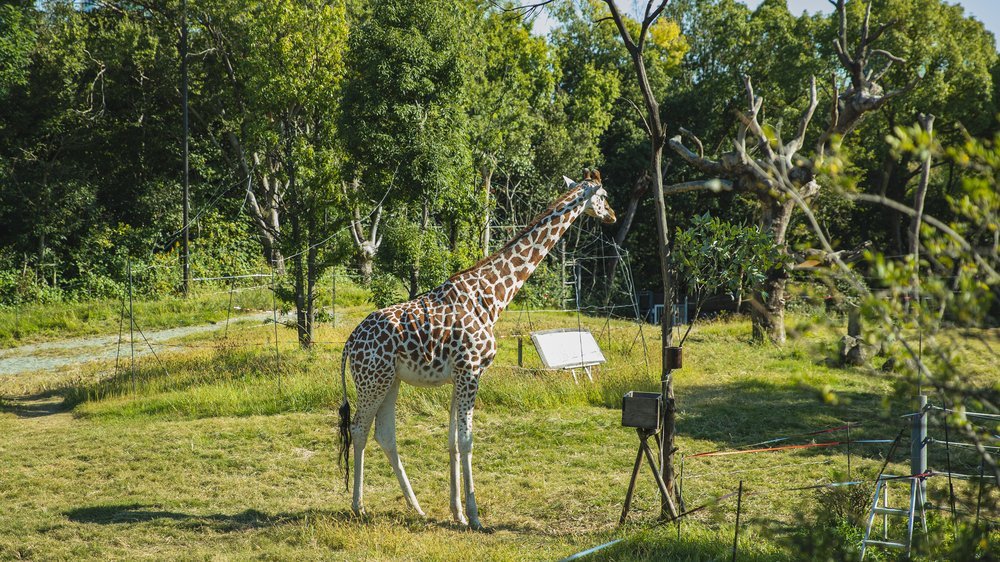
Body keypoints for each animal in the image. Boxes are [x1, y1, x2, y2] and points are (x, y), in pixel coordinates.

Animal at [340, 168, 612, 528]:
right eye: (604, 195)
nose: (613, 216)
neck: (493, 297)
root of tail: (348, 344)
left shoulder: (460, 373)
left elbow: (453, 441)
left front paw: (456, 512)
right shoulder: (471, 370)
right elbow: (467, 440)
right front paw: (474, 516)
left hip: (390, 380)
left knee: (384, 434)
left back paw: (416, 507)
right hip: (372, 380)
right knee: (358, 428)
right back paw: (359, 506)